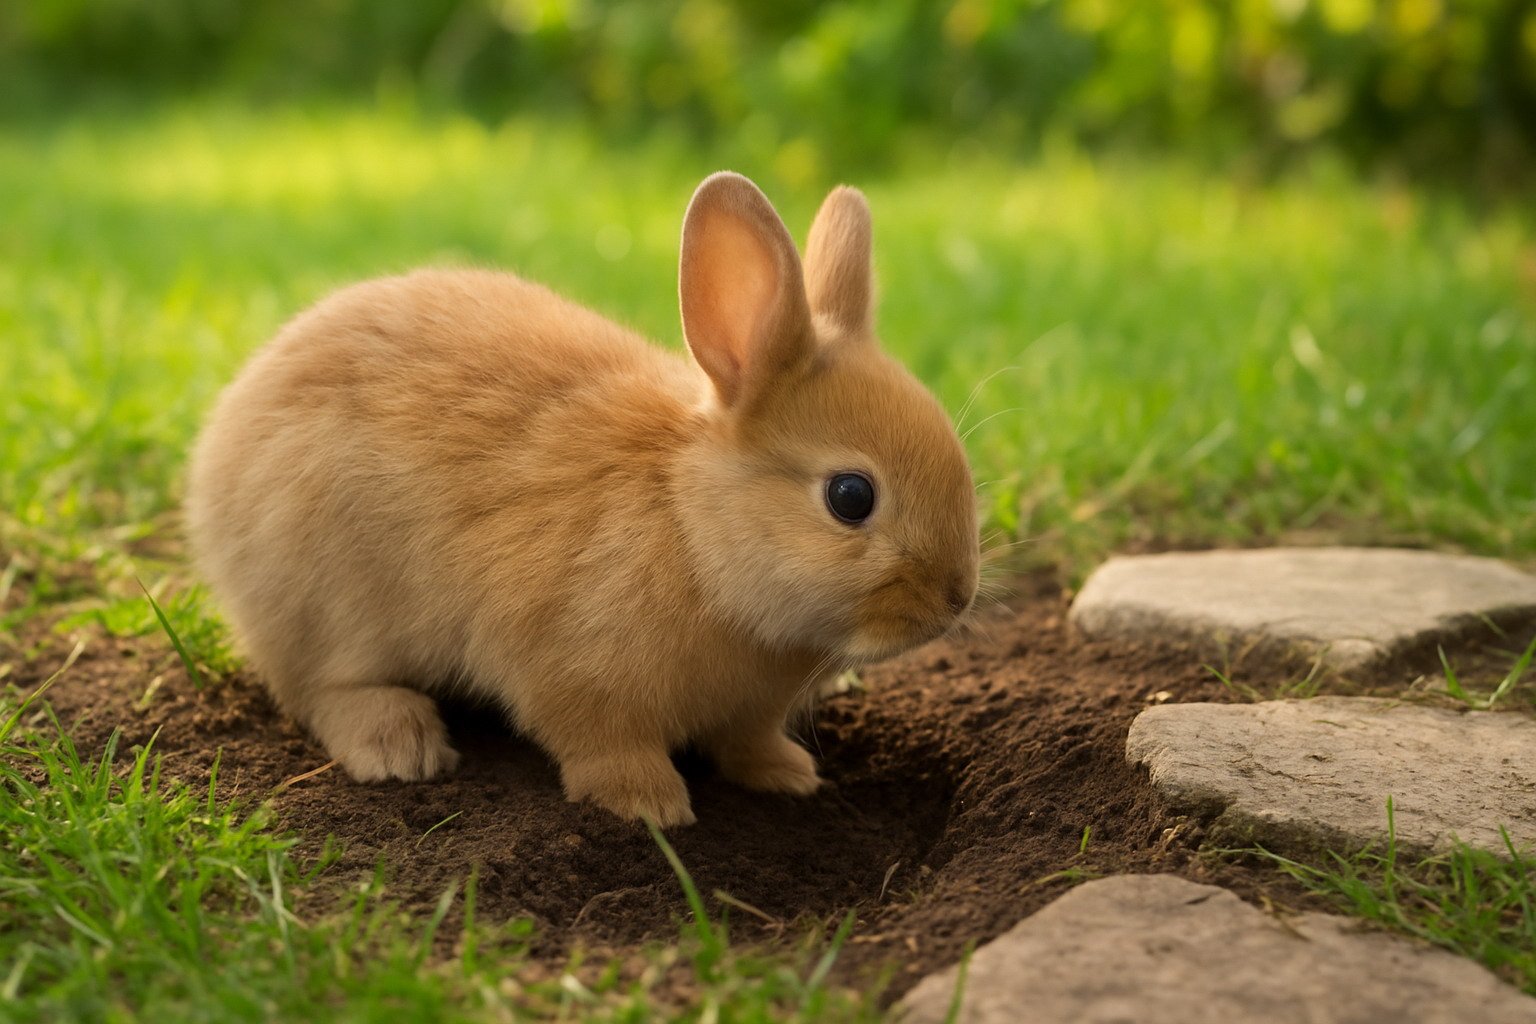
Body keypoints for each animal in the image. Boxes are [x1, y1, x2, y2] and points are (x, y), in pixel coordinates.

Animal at [185, 171, 980, 827]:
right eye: (850, 496)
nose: (956, 598)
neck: (690, 531)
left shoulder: (751, 709)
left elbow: (747, 741)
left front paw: (789, 776)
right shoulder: (568, 670)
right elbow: (600, 743)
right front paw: (650, 806)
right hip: (323, 596)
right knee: (319, 689)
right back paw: (400, 745)